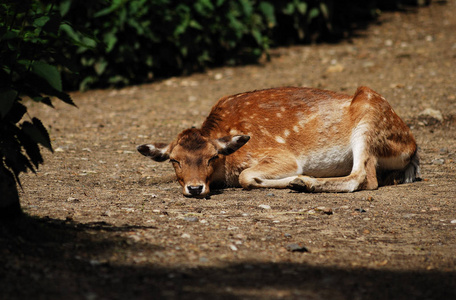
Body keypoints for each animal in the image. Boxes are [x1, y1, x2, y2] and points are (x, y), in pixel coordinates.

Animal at [136, 86, 420, 198]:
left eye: (212, 156)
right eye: (174, 160)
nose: (195, 188)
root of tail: (412, 147)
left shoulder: (283, 156)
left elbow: (246, 176)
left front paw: (298, 179)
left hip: (369, 117)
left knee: (364, 176)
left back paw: (306, 183)